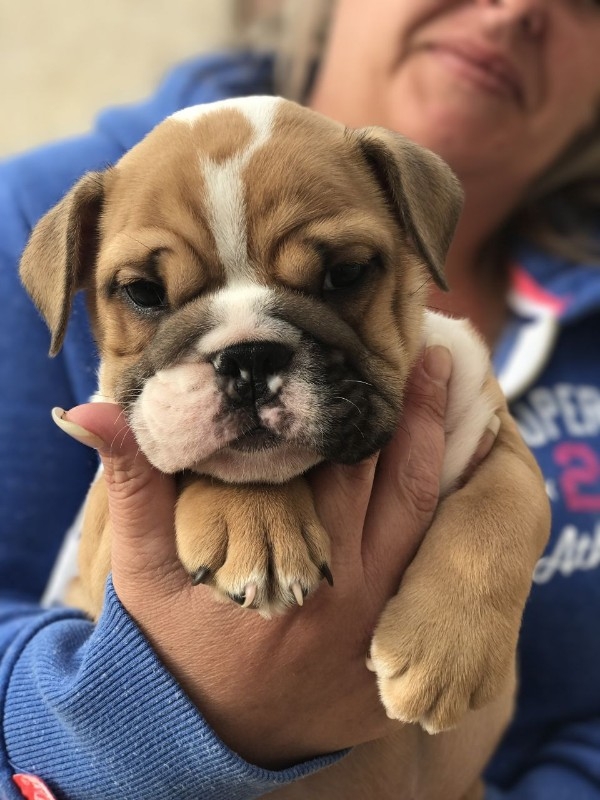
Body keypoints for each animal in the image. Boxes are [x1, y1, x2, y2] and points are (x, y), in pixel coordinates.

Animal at [21, 100, 552, 752]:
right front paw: (254, 524)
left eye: (346, 273)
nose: (248, 358)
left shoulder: (489, 426)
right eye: (143, 292)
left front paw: (444, 653)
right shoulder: (97, 552)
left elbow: (505, 509)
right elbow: (223, 468)